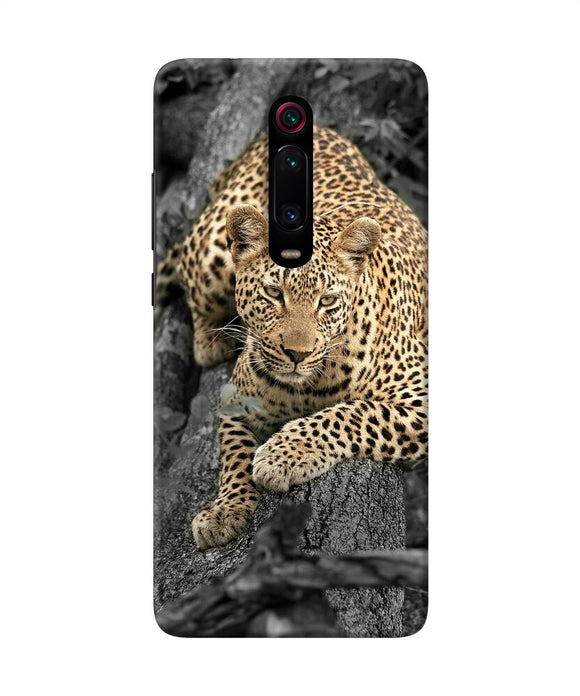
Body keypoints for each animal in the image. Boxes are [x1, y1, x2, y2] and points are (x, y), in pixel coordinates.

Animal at [170, 126, 428, 550]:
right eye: (275, 293)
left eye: (327, 301)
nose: (296, 353)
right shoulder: (235, 401)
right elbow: (234, 455)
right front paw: (225, 511)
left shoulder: (419, 395)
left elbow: (352, 414)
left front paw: (283, 454)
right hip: (211, 253)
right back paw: (211, 340)